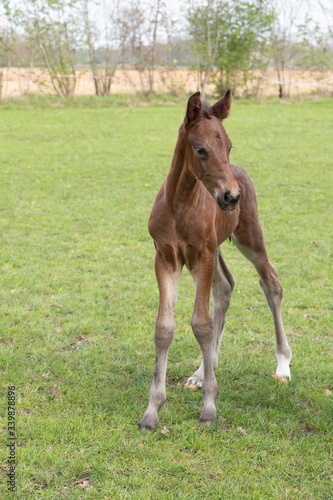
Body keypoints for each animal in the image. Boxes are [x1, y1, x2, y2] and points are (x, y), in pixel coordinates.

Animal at [139, 92, 292, 432]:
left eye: (229, 145)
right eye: (201, 149)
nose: (230, 197)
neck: (180, 206)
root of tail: (240, 173)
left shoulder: (202, 257)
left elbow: (201, 324)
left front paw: (209, 407)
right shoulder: (166, 258)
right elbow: (164, 327)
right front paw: (152, 409)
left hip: (248, 237)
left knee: (271, 283)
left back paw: (283, 364)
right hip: (219, 246)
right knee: (226, 287)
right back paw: (201, 371)